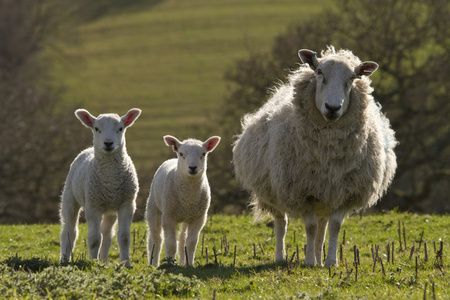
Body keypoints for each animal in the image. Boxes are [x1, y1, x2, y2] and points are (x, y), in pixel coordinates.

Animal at [59, 108, 141, 268]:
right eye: (97, 129)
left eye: (120, 128)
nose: (108, 143)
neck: (110, 180)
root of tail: (88, 149)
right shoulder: (93, 205)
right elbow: (94, 239)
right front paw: (92, 262)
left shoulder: (127, 204)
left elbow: (124, 237)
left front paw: (126, 263)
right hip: (70, 196)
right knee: (69, 231)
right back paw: (65, 260)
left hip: (111, 210)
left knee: (107, 234)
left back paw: (103, 260)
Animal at [145, 135, 221, 266]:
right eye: (181, 154)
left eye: (203, 154)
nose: (193, 167)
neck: (188, 197)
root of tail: (171, 159)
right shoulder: (168, 217)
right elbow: (170, 243)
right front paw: (170, 263)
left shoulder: (198, 218)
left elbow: (191, 243)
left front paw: (189, 264)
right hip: (153, 207)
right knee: (155, 238)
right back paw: (153, 264)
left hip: (187, 217)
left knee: (182, 240)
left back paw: (182, 261)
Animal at [232, 47, 398, 268]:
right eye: (319, 72)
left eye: (353, 77)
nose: (333, 108)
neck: (328, 153)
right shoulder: (302, 192)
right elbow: (309, 227)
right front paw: (309, 261)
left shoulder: (345, 192)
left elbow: (334, 226)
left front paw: (330, 262)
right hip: (273, 191)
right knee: (281, 222)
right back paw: (281, 257)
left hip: (325, 196)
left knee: (323, 225)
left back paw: (320, 258)